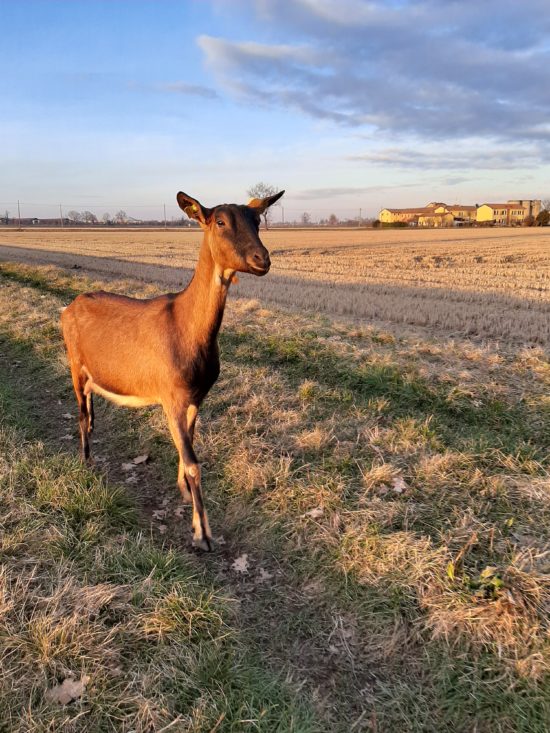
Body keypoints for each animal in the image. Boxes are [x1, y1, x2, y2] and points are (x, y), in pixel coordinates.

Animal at [61, 189, 284, 548]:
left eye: (258, 220)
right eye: (219, 222)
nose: (261, 259)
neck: (187, 329)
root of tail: (67, 308)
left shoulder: (196, 396)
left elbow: (188, 445)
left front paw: (183, 492)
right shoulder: (171, 395)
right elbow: (194, 463)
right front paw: (202, 533)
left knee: (90, 408)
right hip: (74, 363)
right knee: (80, 413)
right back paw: (86, 461)